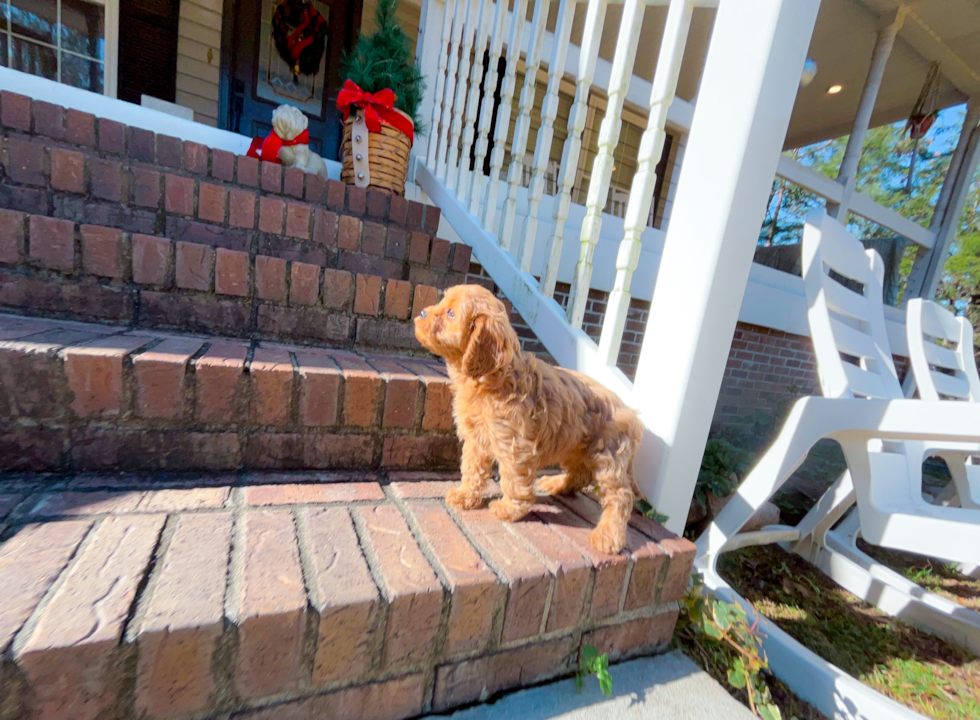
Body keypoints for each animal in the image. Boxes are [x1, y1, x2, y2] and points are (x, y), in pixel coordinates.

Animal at [414, 284, 644, 556]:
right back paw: (556, 484)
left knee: (620, 497)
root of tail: (630, 412)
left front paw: (510, 509)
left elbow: (514, 480)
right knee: (580, 475)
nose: (421, 312)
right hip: (574, 445)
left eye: (451, 313)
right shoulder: (476, 439)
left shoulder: (515, 445)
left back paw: (608, 537)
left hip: (608, 458)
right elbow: (472, 469)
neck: (490, 381)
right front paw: (465, 495)